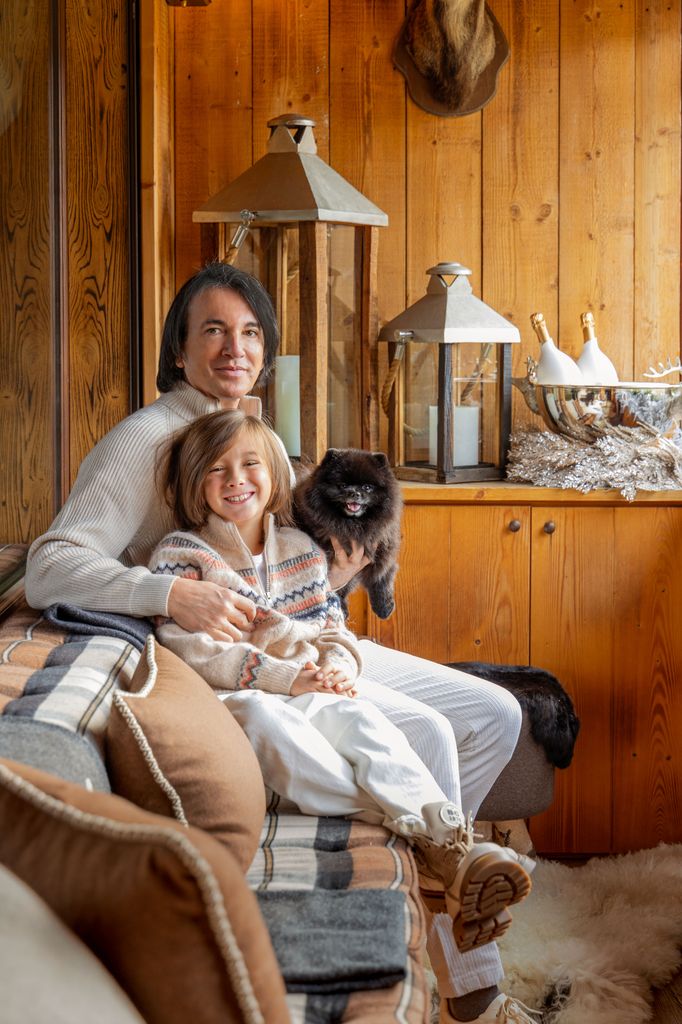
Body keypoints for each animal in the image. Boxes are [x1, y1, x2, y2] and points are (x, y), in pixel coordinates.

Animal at [290, 448, 399, 614]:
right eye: (342, 485)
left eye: (367, 487)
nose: (354, 493)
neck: (352, 525)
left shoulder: (381, 544)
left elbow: (383, 575)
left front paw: (384, 606)